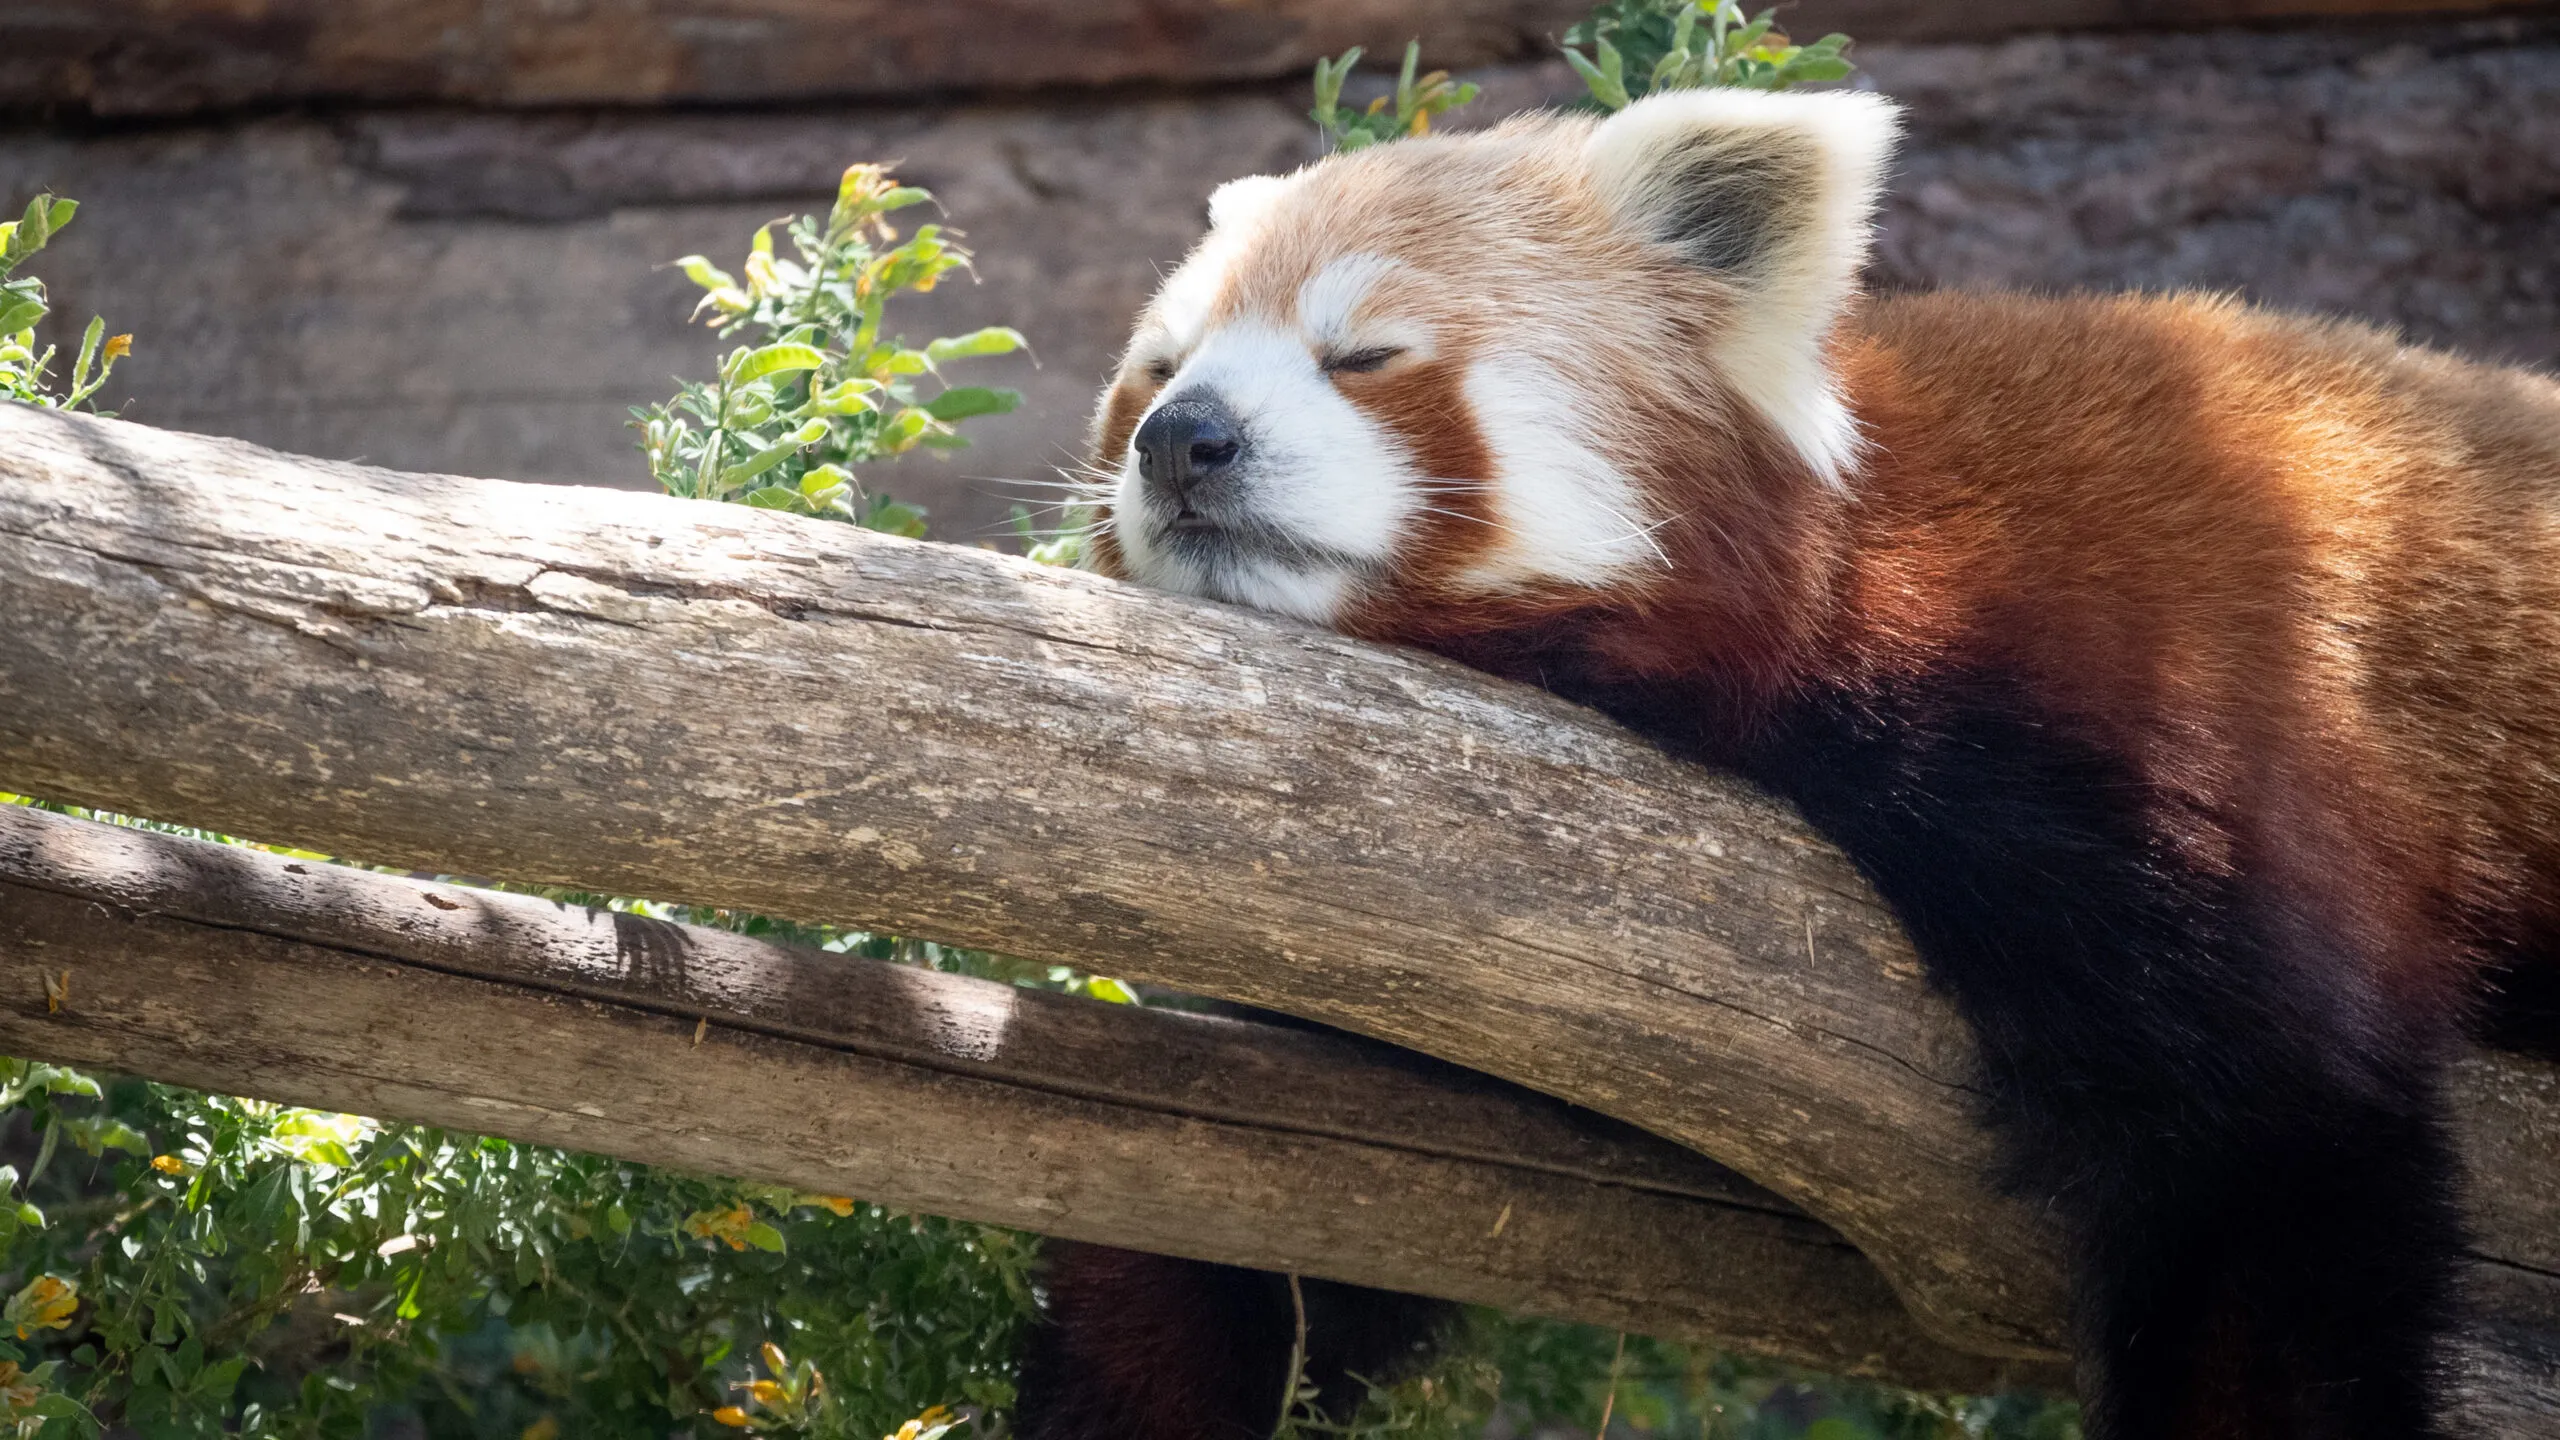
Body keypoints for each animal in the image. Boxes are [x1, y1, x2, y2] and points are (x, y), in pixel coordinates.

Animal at [1014, 87, 2560, 1439]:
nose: (1183, 441)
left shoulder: (2153, 702)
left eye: (1365, 356)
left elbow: (2271, 1149)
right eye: (1160, 368)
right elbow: (1256, 1204)